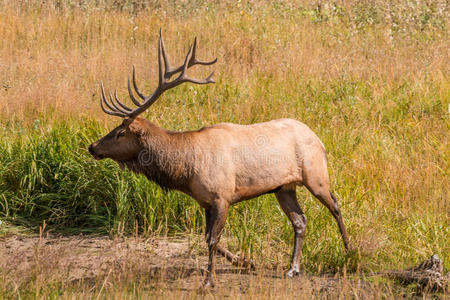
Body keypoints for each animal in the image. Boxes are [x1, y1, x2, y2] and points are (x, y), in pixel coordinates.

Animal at [87, 31, 348, 288]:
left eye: (121, 132)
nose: (92, 147)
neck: (186, 170)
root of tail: (319, 139)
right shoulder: (205, 202)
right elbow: (208, 237)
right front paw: (246, 262)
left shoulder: (222, 196)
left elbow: (212, 239)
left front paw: (209, 279)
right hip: (283, 187)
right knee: (300, 220)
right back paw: (293, 268)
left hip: (316, 175)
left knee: (335, 205)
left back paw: (349, 251)